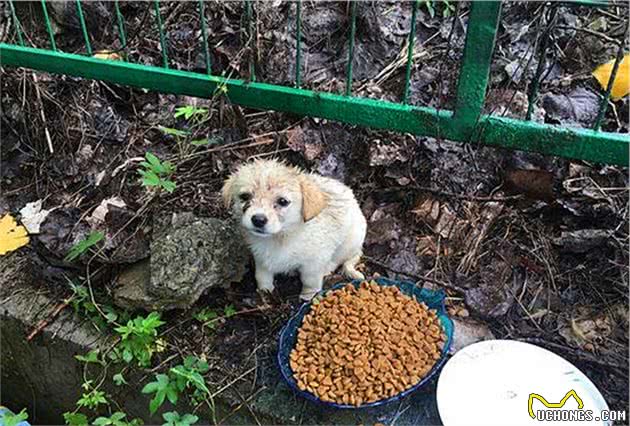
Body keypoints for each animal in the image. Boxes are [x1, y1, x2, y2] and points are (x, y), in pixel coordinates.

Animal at [223, 159, 368, 300]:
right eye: (245, 196)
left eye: (283, 201)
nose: (258, 219)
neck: (281, 237)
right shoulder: (261, 258)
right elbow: (262, 276)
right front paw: (264, 291)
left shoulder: (313, 263)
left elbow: (310, 281)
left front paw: (308, 296)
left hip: (349, 242)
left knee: (336, 260)